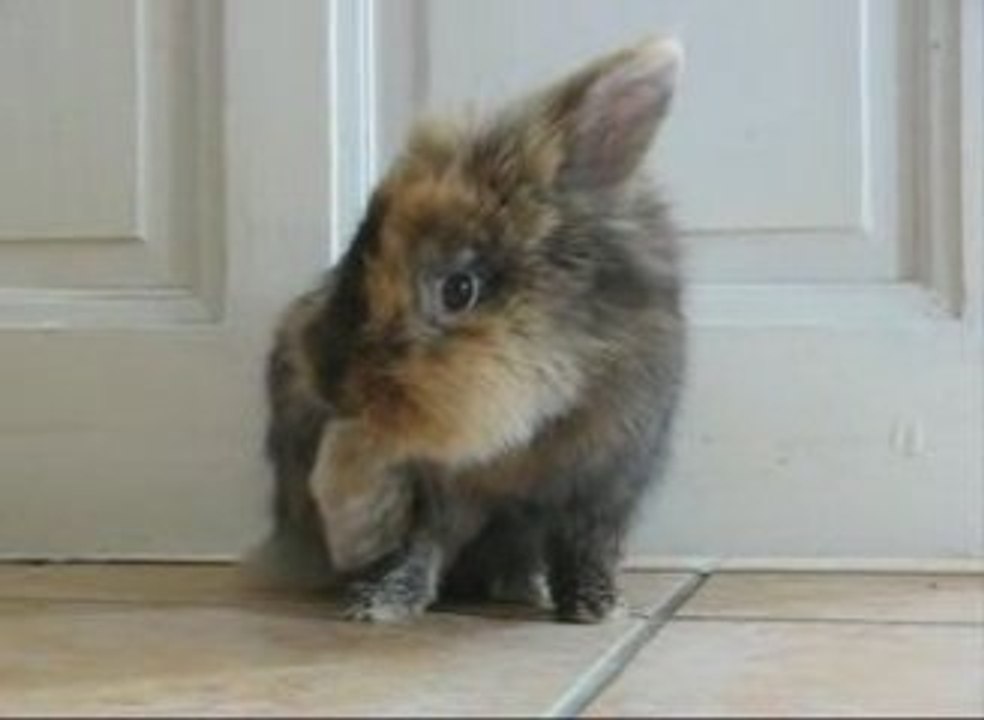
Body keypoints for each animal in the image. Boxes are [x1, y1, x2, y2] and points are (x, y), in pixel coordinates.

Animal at [250, 37, 687, 623]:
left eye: (459, 289)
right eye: (353, 253)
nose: (327, 379)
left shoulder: (607, 484)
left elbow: (588, 548)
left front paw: (595, 607)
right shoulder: (434, 490)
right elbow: (417, 542)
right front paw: (379, 603)